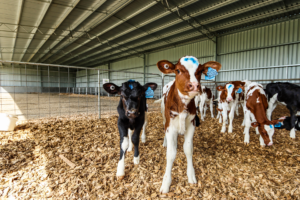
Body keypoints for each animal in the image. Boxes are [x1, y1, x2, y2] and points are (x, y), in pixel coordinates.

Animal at [156, 55, 221, 193]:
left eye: (200, 71)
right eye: (178, 70)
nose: (195, 85)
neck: (183, 105)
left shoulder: (191, 124)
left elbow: (188, 149)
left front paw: (191, 175)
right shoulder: (170, 127)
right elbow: (171, 153)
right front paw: (166, 182)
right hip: (164, 117)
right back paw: (165, 142)